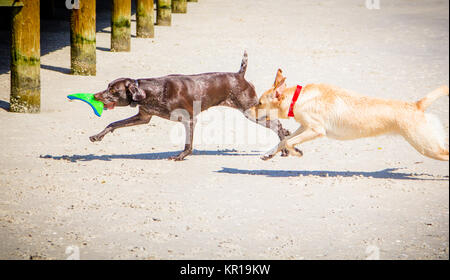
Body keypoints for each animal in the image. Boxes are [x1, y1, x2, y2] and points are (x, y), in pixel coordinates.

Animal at [89, 52, 290, 160]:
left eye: (113, 90)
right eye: (107, 86)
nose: (95, 95)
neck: (151, 91)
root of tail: (239, 75)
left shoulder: (189, 120)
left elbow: (188, 144)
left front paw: (181, 156)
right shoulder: (143, 117)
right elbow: (113, 124)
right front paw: (97, 136)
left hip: (251, 112)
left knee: (278, 125)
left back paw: (285, 148)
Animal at [255, 68, 448, 161]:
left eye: (259, 103)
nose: (249, 108)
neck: (298, 98)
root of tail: (417, 105)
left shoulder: (316, 130)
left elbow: (289, 142)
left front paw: (296, 152)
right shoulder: (304, 127)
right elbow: (284, 141)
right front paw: (269, 154)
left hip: (426, 146)